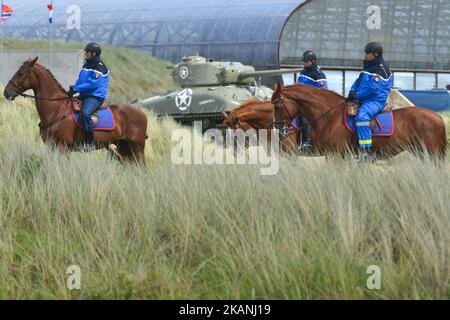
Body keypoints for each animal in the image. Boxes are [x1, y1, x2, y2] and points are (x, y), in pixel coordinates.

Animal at [3, 57, 148, 162]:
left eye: (21, 73)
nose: (6, 92)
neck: (57, 109)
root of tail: (142, 113)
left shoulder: (63, 148)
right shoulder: (52, 147)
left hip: (137, 148)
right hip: (124, 148)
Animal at [270, 82, 446, 158]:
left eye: (278, 106)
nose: (280, 132)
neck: (329, 116)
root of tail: (438, 117)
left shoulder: (336, 156)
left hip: (432, 154)